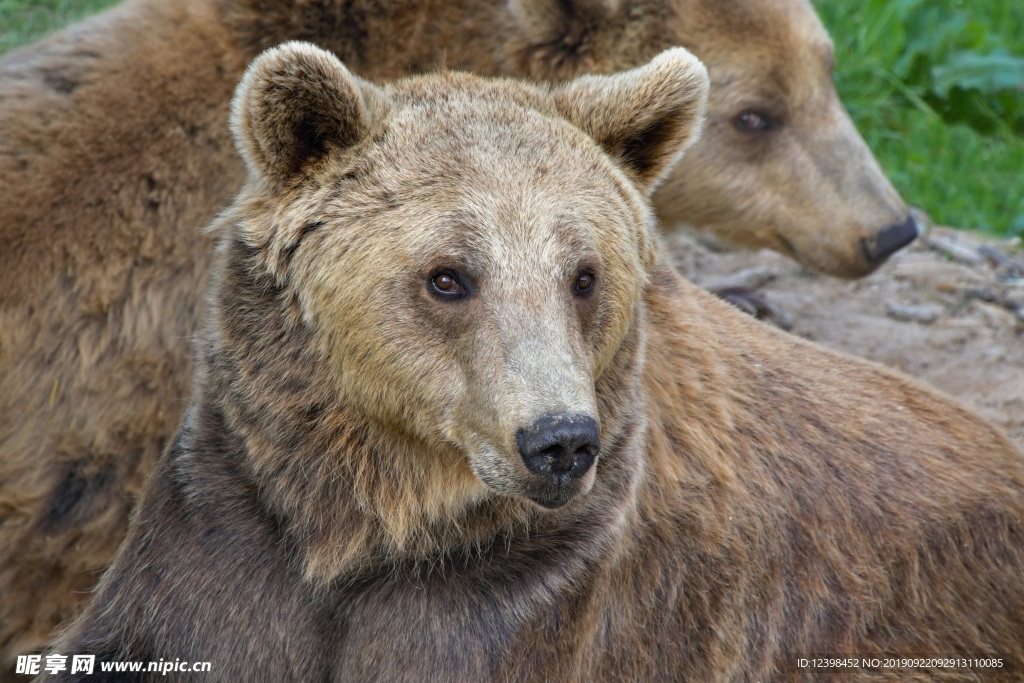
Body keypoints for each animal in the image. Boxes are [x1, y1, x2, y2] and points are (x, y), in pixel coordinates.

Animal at [35, 42, 1024, 683]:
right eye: (447, 275)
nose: (560, 440)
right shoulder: (228, 539)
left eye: (584, 274)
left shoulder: (530, 600)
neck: (367, 519)